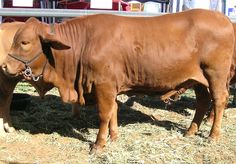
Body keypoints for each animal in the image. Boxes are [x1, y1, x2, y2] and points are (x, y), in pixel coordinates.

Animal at [1, 9, 234, 153]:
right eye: (15, 40)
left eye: (24, 42)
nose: (4, 66)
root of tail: (223, 19)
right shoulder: (110, 86)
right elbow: (114, 110)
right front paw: (114, 137)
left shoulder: (103, 85)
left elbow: (105, 114)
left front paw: (99, 144)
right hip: (198, 80)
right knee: (203, 102)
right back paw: (190, 131)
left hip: (215, 74)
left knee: (219, 100)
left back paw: (213, 135)